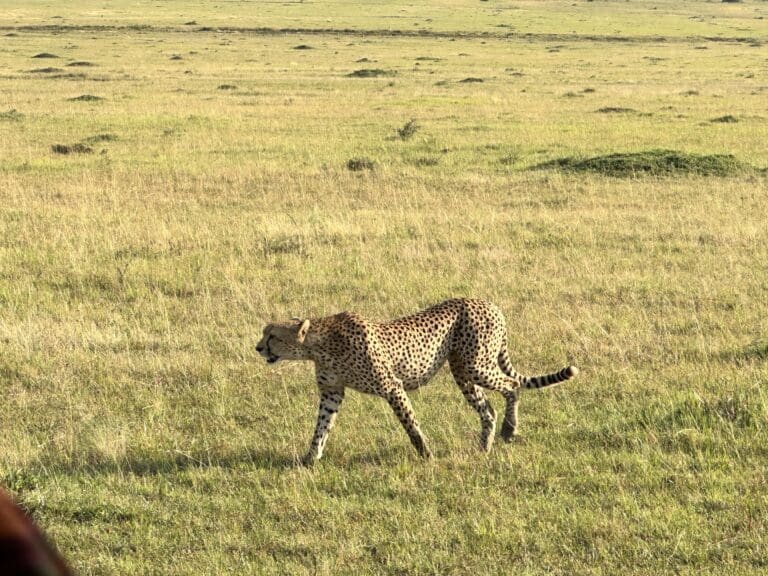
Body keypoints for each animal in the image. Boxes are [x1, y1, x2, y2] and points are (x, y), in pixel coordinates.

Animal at [258, 300, 576, 466]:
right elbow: (321, 428)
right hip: (462, 371)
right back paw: (484, 447)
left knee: (512, 385)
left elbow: (410, 424)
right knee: (488, 409)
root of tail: (488, 303)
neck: (319, 343)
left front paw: (426, 454)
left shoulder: (392, 387)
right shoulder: (331, 393)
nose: (258, 347)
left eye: (272, 335)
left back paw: (510, 430)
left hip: (477, 367)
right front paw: (310, 458)